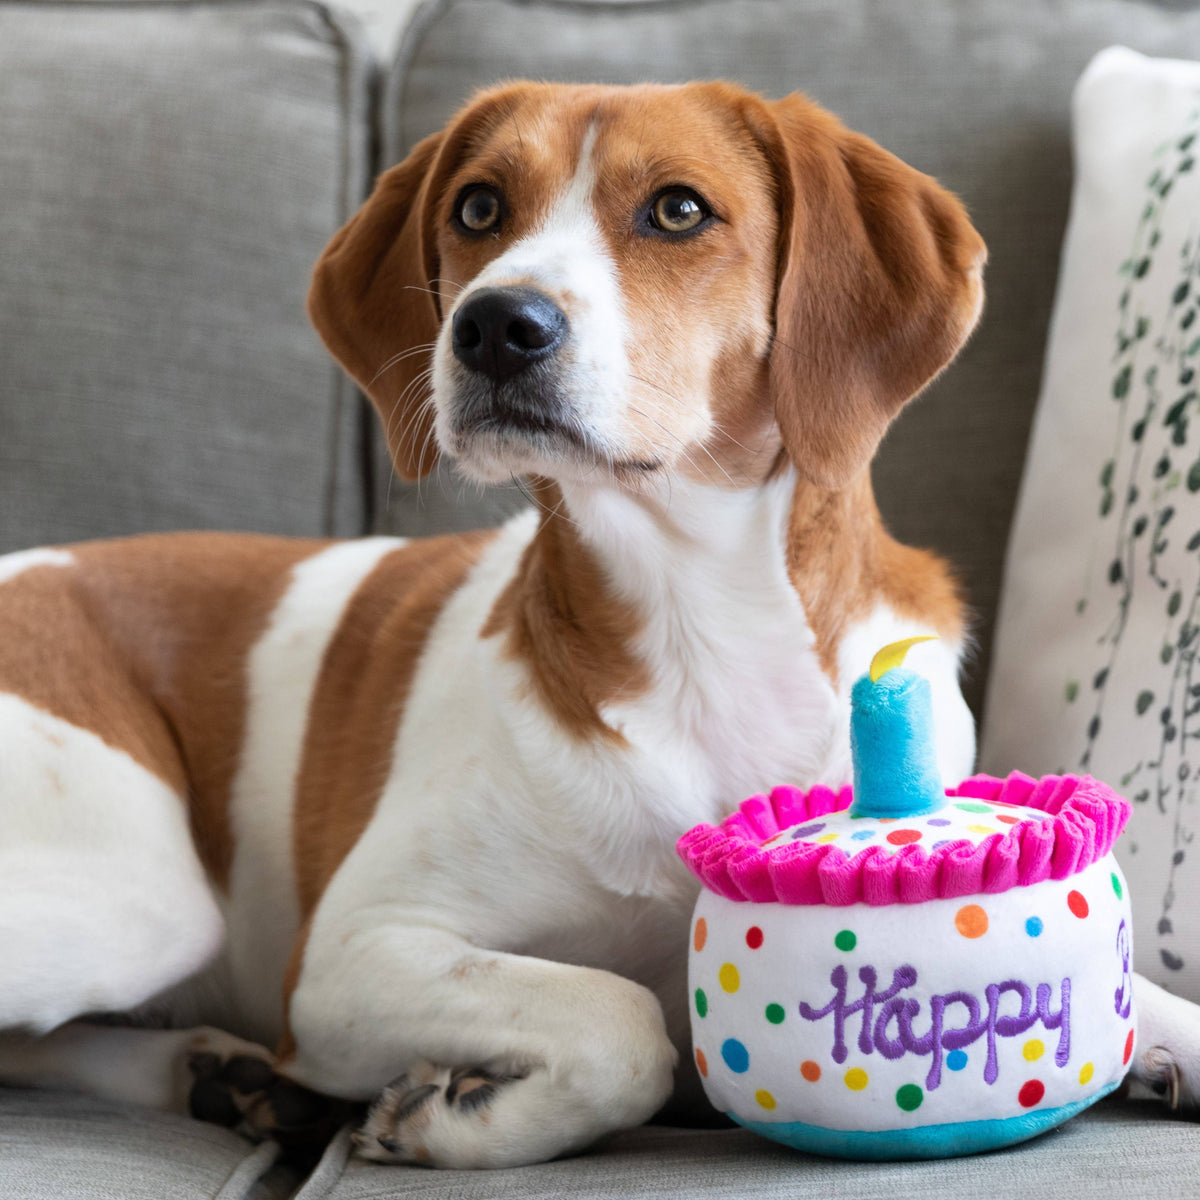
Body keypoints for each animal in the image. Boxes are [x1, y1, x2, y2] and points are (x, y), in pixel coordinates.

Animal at [2, 79, 1200, 1166]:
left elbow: (1142, 986)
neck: (700, 622)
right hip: (143, 896)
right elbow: (624, 1028)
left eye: (677, 210)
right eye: (480, 207)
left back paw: (213, 1072)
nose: (495, 324)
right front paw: (445, 1116)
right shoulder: (350, 958)